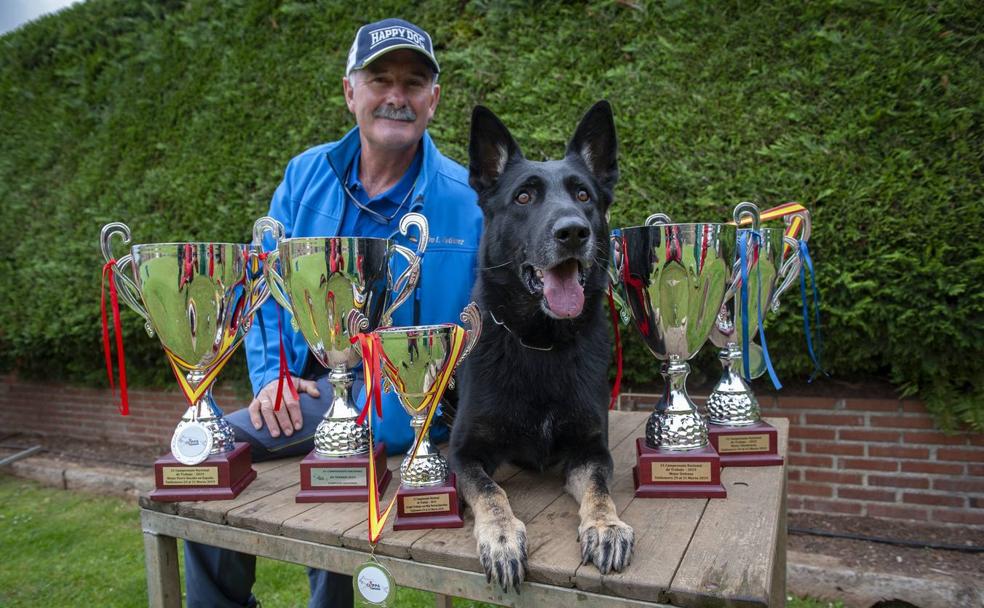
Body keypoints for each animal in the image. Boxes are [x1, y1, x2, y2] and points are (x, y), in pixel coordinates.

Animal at [450, 102, 636, 592]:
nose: (573, 232)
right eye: (523, 198)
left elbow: (599, 490)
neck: (539, 343)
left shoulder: (590, 451)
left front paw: (606, 526)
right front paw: (500, 537)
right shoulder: (464, 453)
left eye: (584, 195)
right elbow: (491, 490)